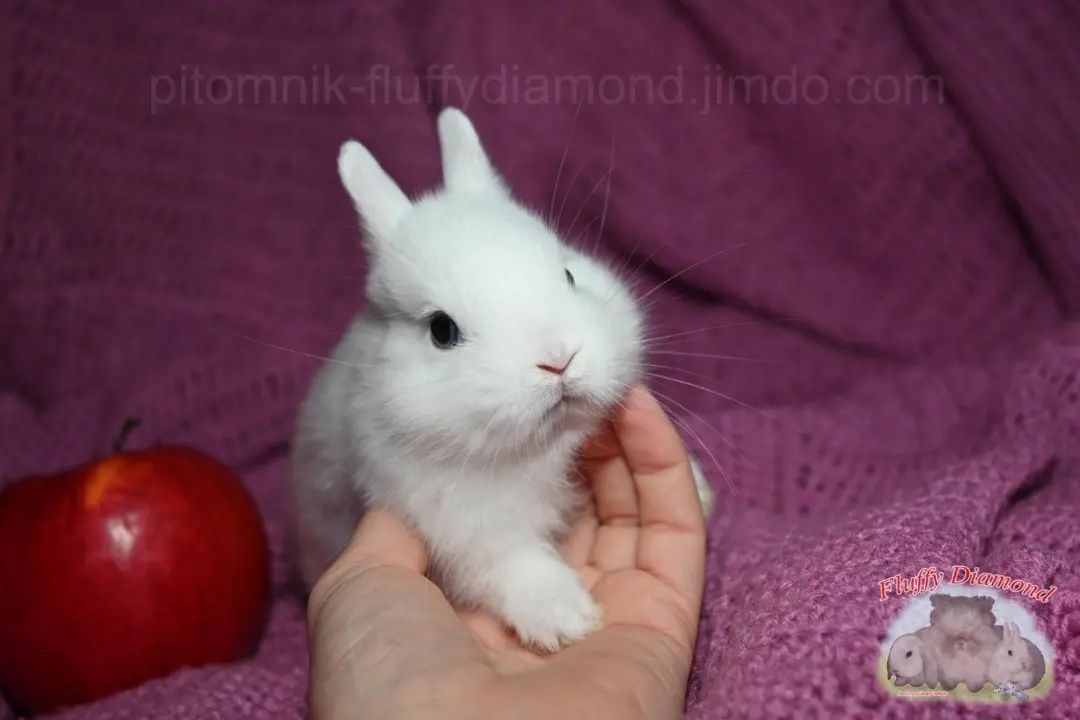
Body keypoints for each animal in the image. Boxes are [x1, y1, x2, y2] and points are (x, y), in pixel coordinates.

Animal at [293, 108, 717, 651]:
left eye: (568, 274)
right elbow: (512, 566)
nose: (558, 359)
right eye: (441, 330)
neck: (543, 447)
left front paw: (701, 493)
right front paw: (569, 619)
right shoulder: (462, 527)